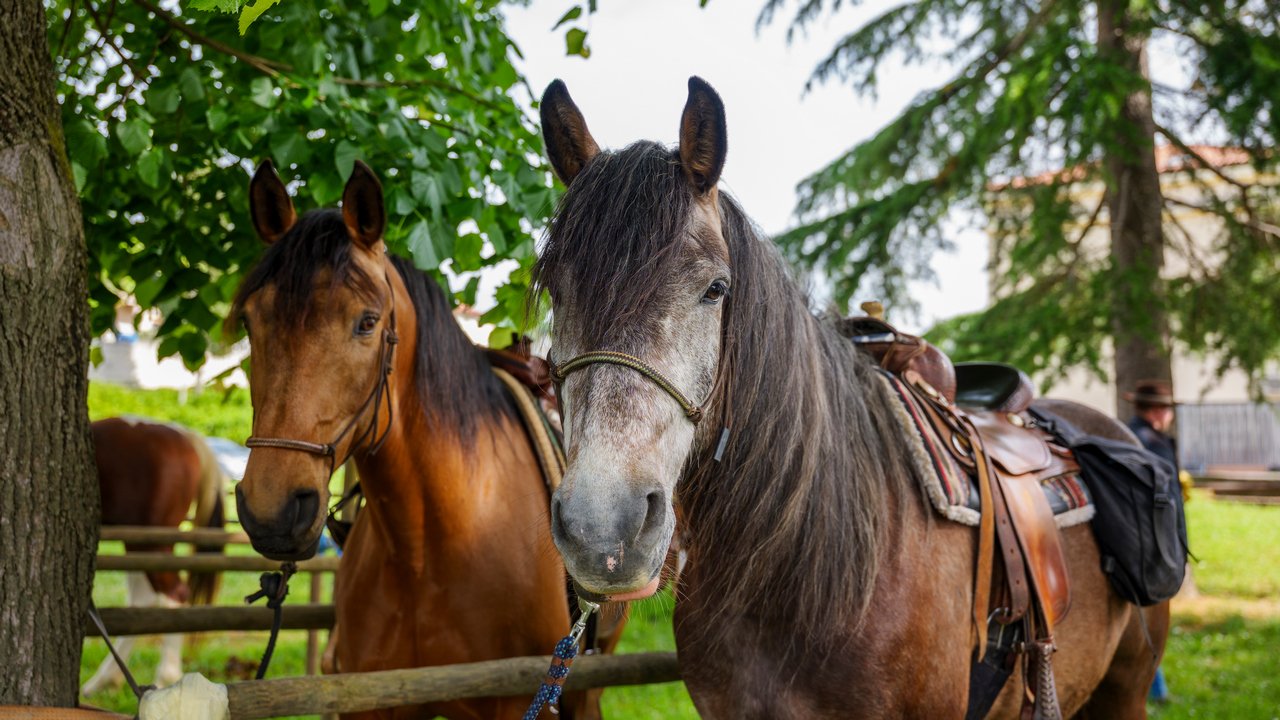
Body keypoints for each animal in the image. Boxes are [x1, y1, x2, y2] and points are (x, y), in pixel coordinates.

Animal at [83, 416, 227, 696]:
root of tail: (185, 435)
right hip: (138, 543)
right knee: (143, 601)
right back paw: (104, 680)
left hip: (152, 542)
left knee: (173, 595)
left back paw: (165, 676)